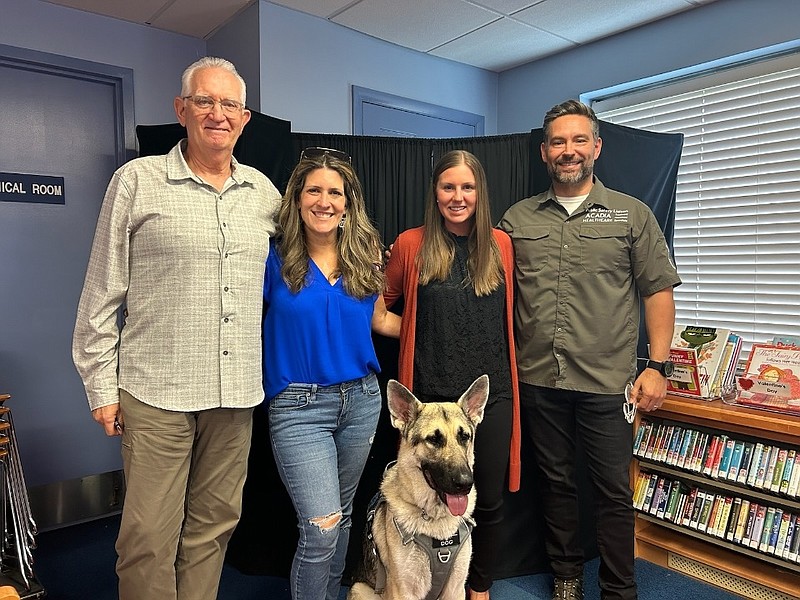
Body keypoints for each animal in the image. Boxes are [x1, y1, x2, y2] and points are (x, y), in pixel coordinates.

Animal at [348, 376, 490, 600]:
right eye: (433, 439)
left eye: (464, 437)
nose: (465, 484)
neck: (435, 519)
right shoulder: (404, 592)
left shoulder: (455, 590)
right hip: (360, 589)